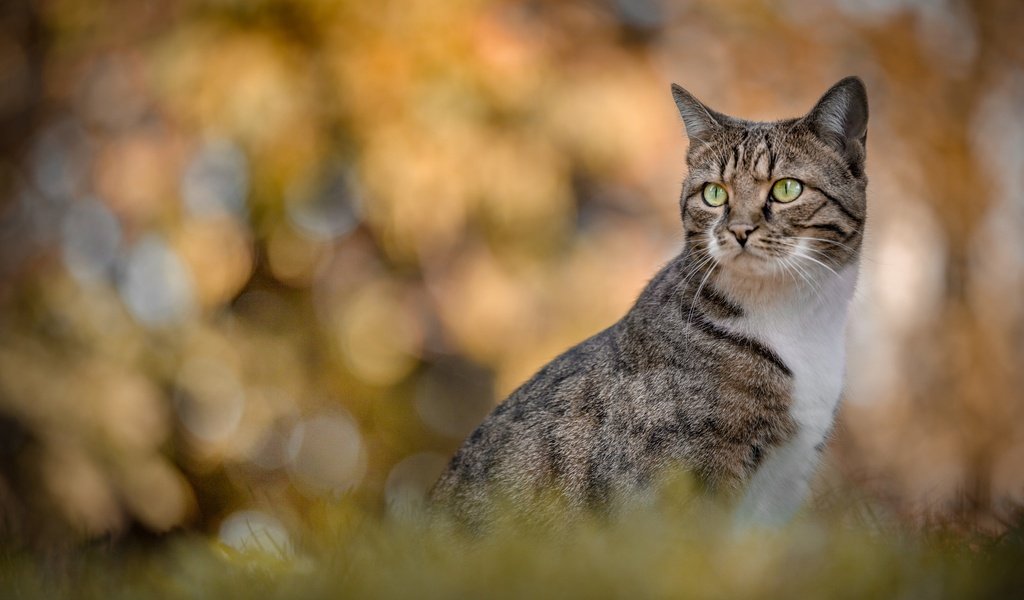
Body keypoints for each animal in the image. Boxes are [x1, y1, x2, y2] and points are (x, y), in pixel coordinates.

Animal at [428, 75, 868, 528]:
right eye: (714, 194)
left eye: (786, 188)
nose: (740, 230)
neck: (795, 322)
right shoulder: (678, 485)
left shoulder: (784, 481)